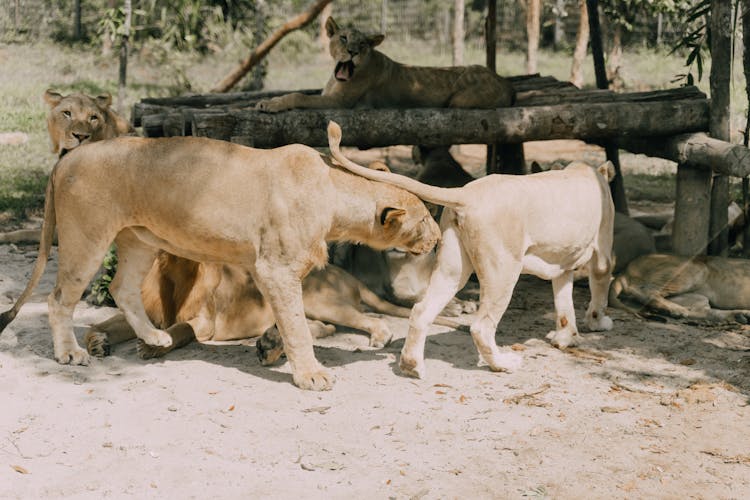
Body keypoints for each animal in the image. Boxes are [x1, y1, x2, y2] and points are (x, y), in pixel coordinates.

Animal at [0, 133, 444, 390]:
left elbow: (291, 322)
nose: (440, 239)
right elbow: (297, 326)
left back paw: (156, 338)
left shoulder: (280, 274)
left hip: (139, 238)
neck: (334, 196)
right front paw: (311, 375)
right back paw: (70, 353)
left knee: (121, 288)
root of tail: (66, 158)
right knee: (59, 298)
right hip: (87, 238)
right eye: (425, 218)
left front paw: (272, 347)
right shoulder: (275, 269)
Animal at [256, 16, 516, 113]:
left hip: (459, 100)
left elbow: (298, 95)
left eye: (362, 44)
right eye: (344, 38)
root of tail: (504, 81)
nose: (352, 52)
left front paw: (269, 104)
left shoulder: (340, 102)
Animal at [328, 122, 616, 378]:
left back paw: (412, 367)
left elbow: (564, 303)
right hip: (503, 271)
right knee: (481, 326)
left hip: (451, 269)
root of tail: (466, 194)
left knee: (421, 311)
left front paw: (566, 338)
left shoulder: (562, 264)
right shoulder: (603, 250)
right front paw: (597, 323)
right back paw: (503, 364)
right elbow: (600, 286)